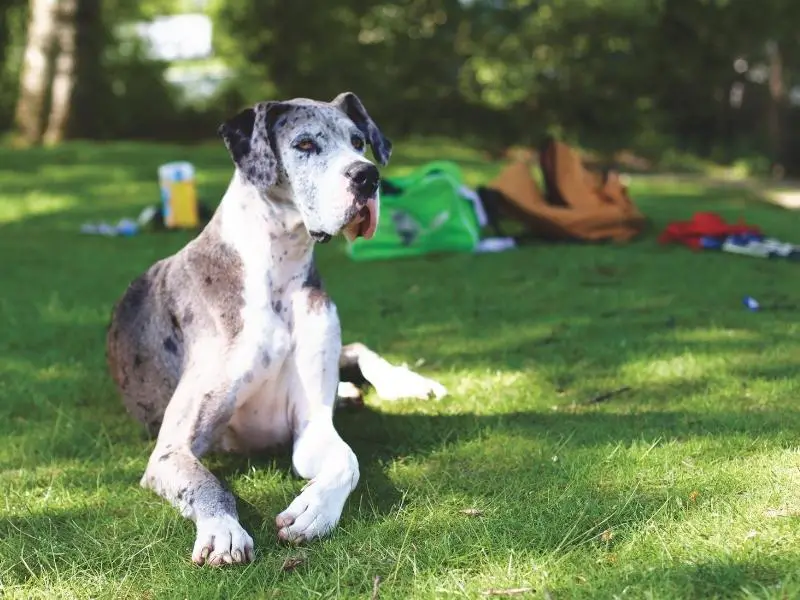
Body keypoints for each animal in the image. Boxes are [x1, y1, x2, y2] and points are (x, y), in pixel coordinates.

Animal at [104, 94, 446, 568]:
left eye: (358, 142)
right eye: (304, 144)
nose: (367, 175)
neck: (278, 270)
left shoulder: (311, 426)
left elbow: (347, 460)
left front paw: (314, 510)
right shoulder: (172, 449)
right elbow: (209, 484)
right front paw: (222, 530)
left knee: (358, 349)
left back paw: (404, 383)